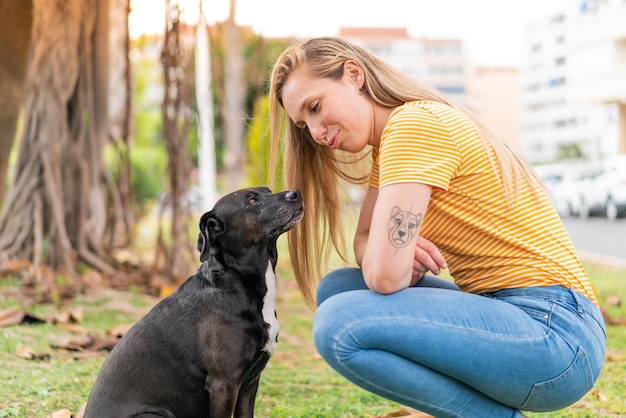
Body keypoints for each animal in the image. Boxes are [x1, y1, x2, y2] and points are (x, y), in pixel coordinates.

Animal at [84, 187, 304, 418]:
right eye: (252, 201)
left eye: (268, 190)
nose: (296, 193)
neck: (235, 280)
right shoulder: (224, 384)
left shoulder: (249, 384)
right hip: (156, 414)